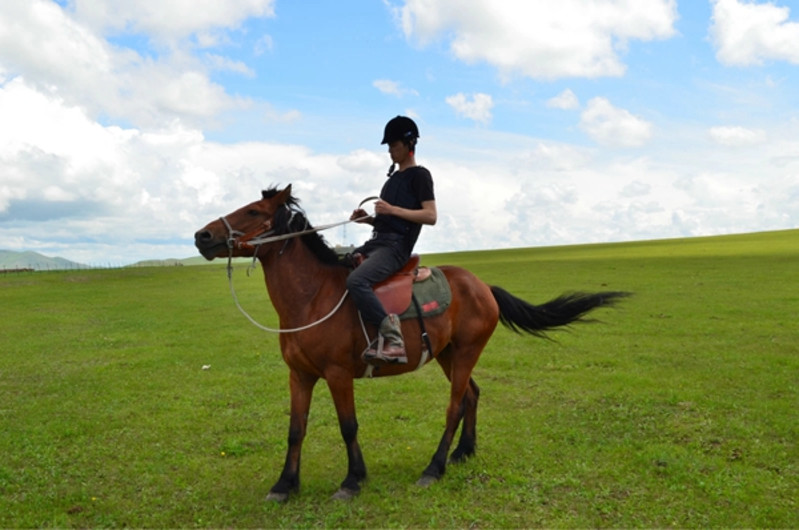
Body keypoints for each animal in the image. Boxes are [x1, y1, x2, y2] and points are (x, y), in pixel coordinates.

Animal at [195, 185, 632, 500]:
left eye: (254, 211)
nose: (202, 234)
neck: (312, 296)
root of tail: (482, 286)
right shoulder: (300, 375)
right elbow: (295, 430)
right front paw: (285, 485)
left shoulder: (338, 374)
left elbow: (348, 426)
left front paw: (353, 481)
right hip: (447, 355)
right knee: (472, 395)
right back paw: (463, 452)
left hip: (466, 352)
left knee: (455, 406)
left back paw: (434, 468)